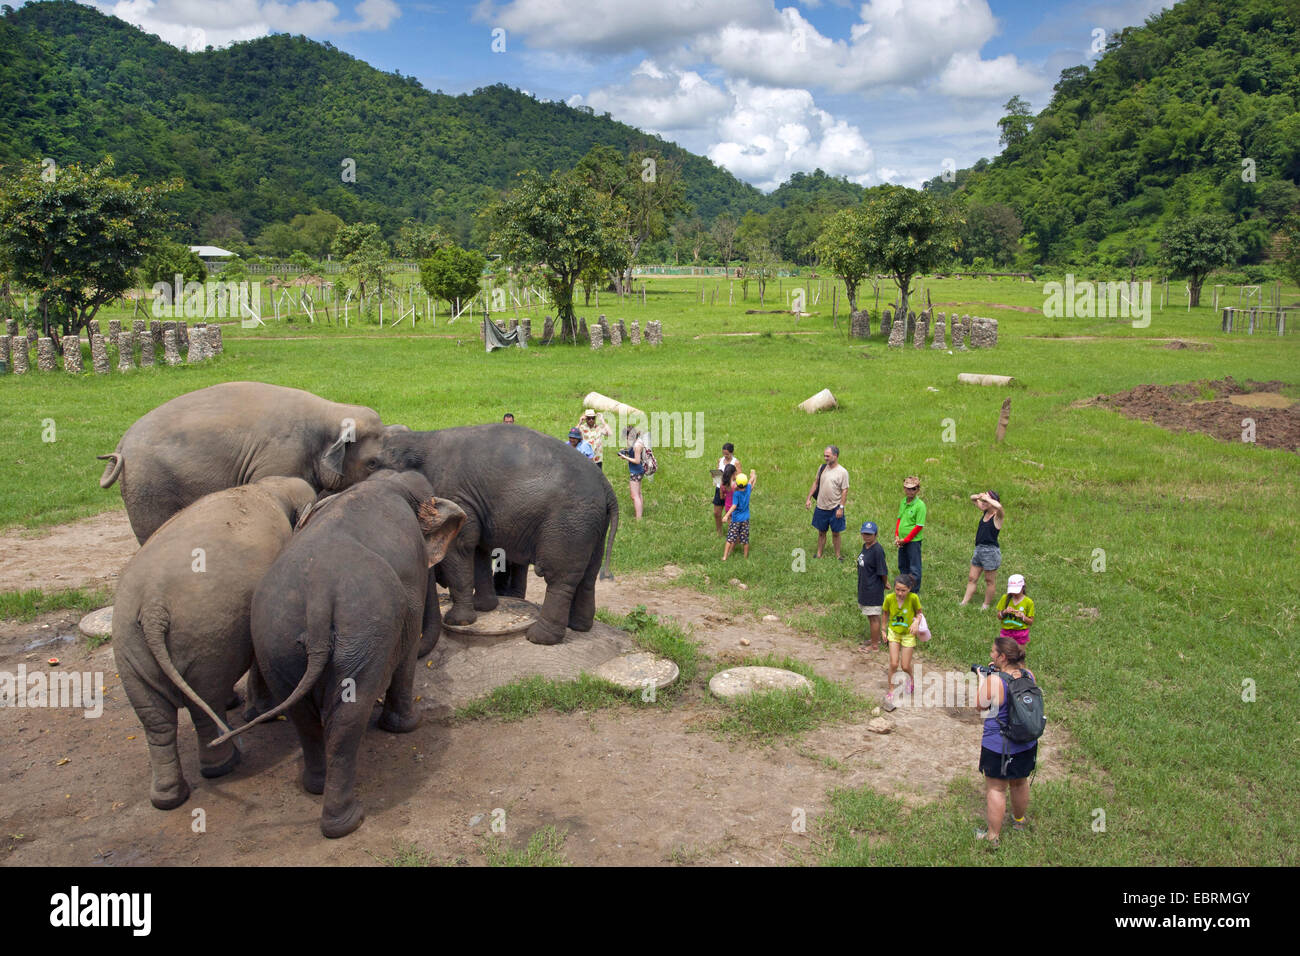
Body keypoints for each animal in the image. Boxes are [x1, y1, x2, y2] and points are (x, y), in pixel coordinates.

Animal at [115, 476, 321, 811]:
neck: (267, 489)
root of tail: (153, 607)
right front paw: (260, 712)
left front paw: (240, 705)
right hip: (203, 639)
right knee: (202, 703)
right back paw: (223, 766)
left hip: (130, 650)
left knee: (155, 720)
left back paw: (168, 798)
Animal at [217, 468, 467, 837]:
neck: (383, 482)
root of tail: (319, 596)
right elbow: (406, 655)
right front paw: (409, 726)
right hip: (362, 631)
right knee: (348, 716)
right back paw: (348, 820)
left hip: (275, 639)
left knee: (303, 716)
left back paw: (316, 787)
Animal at [377, 424, 618, 642]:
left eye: (373, 464)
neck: (421, 439)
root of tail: (606, 487)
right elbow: (477, 550)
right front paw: (484, 608)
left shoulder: (454, 493)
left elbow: (460, 546)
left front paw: (457, 621)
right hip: (592, 525)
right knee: (588, 576)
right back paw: (579, 627)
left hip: (570, 522)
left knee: (559, 578)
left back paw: (539, 638)